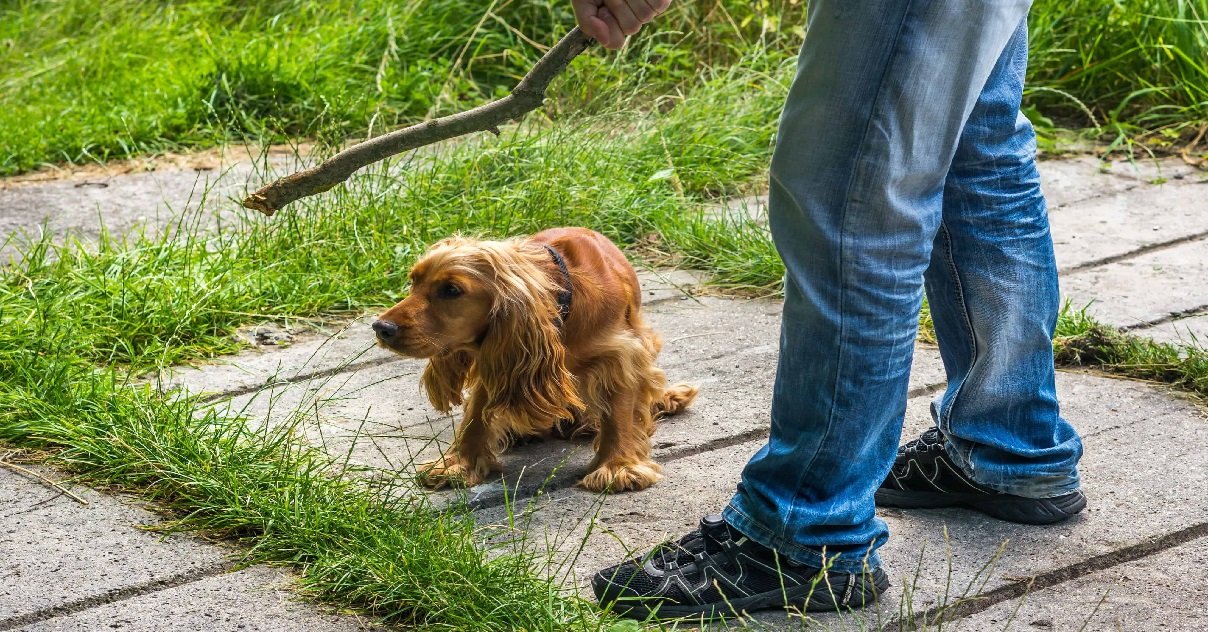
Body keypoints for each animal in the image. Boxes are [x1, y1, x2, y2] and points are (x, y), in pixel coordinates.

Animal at [369, 227, 700, 495]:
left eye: (451, 290)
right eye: (413, 282)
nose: (381, 327)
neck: (562, 302)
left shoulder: (621, 352)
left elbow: (620, 412)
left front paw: (618, 467)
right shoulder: (498, 354)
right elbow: (475, 414)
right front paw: (459, 464)